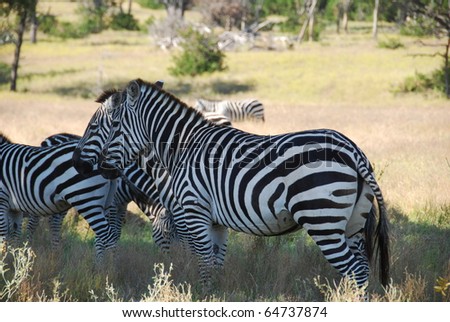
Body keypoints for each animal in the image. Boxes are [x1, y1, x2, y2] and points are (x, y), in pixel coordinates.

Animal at [74, 78, 390, 290]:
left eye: (99, 127)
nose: (78, 165)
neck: (181, 150)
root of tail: (352, 150)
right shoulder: (216, 222)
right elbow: (215, 263)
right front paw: (214, 296)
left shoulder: (192, 212)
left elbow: (201, 262)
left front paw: (200, 295)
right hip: (352, 224)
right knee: (361, 268)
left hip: (322, 218)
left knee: (356, 272)